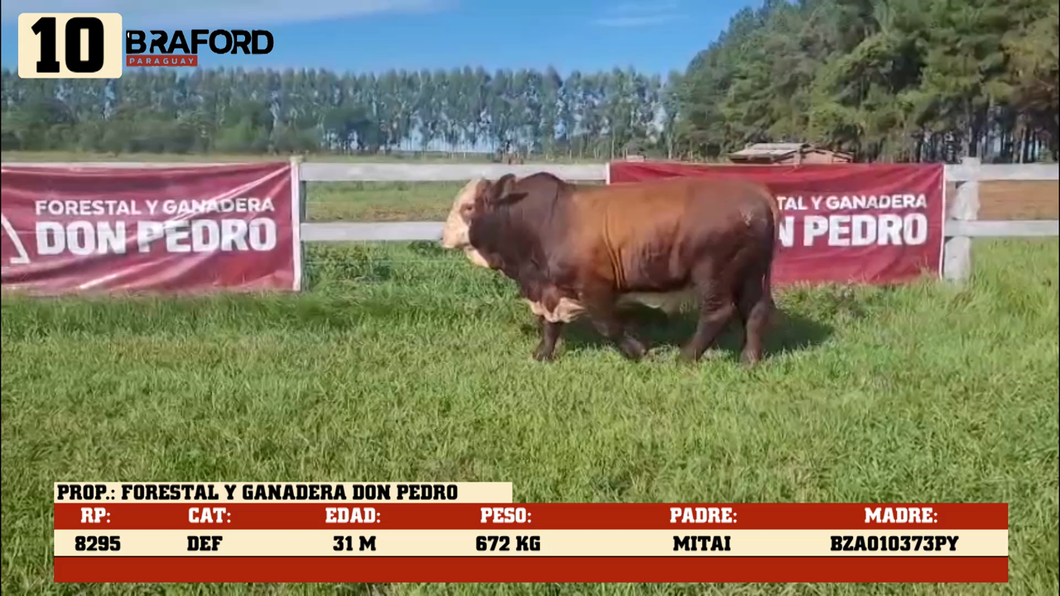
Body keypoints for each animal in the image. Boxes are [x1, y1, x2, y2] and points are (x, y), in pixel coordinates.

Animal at [439, 173, 778, 365]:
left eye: (469, 207)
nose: (444, 235)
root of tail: (757, 193)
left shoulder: (594, 286)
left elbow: (608, 325)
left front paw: (639, 352)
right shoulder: (550, 288)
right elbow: (550, 325)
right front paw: (541, 355)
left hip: (714, 274)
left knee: (717, 313)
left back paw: (684, 358)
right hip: (749, 274)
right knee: (755, 310)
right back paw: (749, 360)